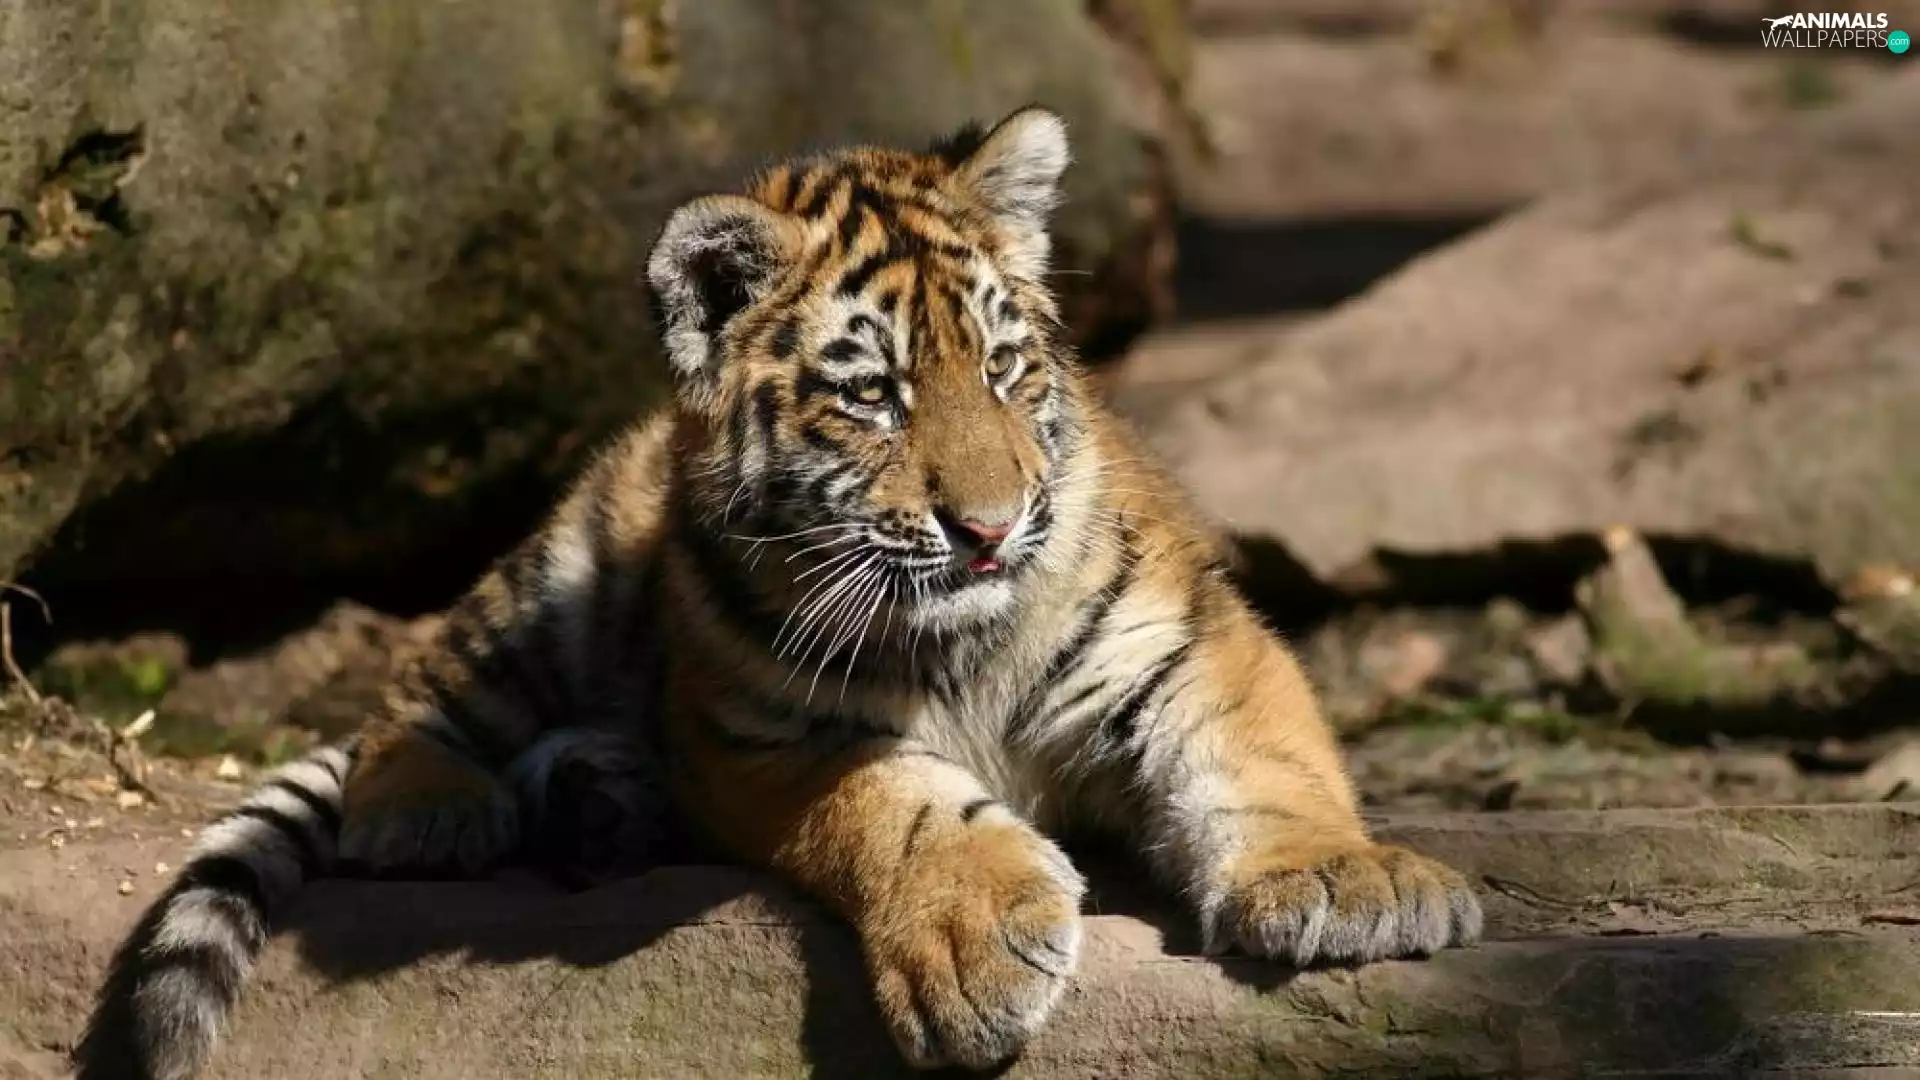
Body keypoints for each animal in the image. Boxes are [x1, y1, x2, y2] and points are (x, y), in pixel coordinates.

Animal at [76, 106, 1482, 1079]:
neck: (961, 639)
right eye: (874, 396)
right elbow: (897, 808)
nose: (990, 527)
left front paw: (1352, 888)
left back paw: (600, 806)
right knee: (418, 693)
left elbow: (1266, 762)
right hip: (556, 577)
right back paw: (435, 809)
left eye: (1005, 367)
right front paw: (976, 944)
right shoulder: (763, 736)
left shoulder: (1194, 643)